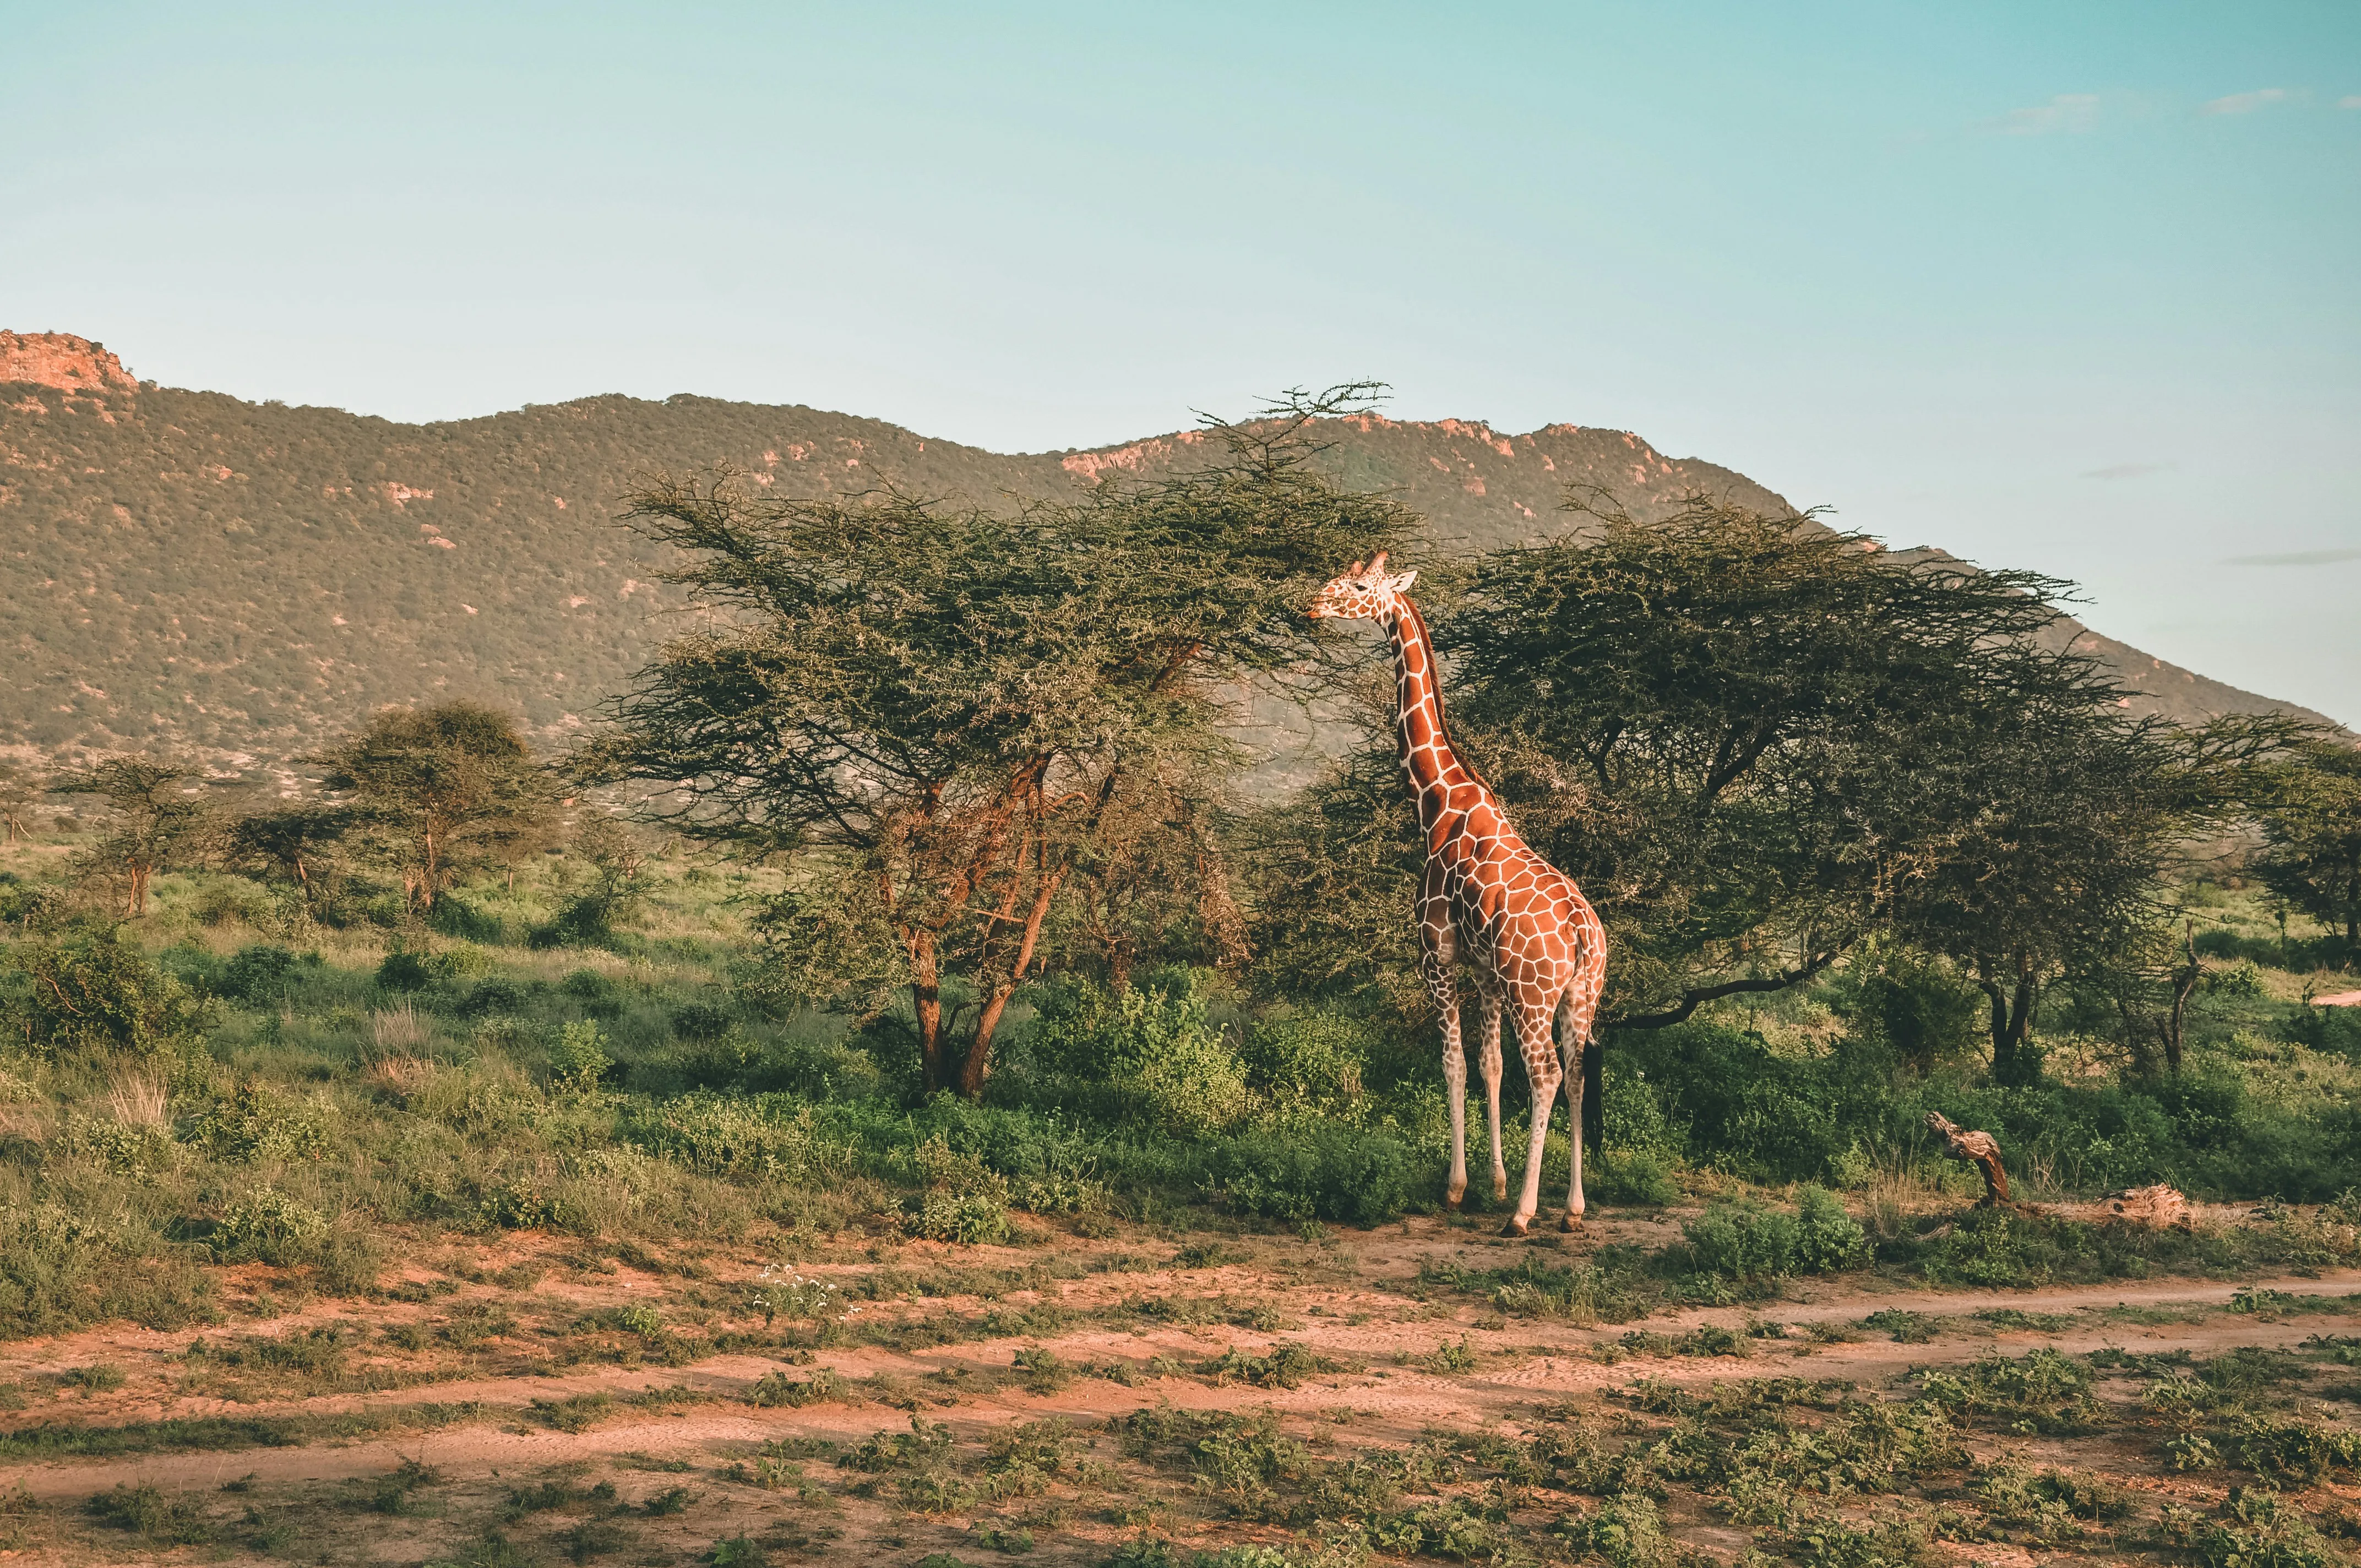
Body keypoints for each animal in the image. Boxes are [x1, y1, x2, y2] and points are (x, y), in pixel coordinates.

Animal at [1308, 553, 1609, 1235]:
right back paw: (1573, 1209)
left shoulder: (1437, 958)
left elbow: (1454, 1064)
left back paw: (1525, 1213)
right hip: (1581, 993)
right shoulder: (1485, 974)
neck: (1436, 802)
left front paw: (1458, 1187)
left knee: (1547, 1074)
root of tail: (1584, 930)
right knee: (1579, 1073)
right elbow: (1490, 1067)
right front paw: (1494, 1181)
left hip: (1534, 993)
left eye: (1359, 586)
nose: (1313, 604)